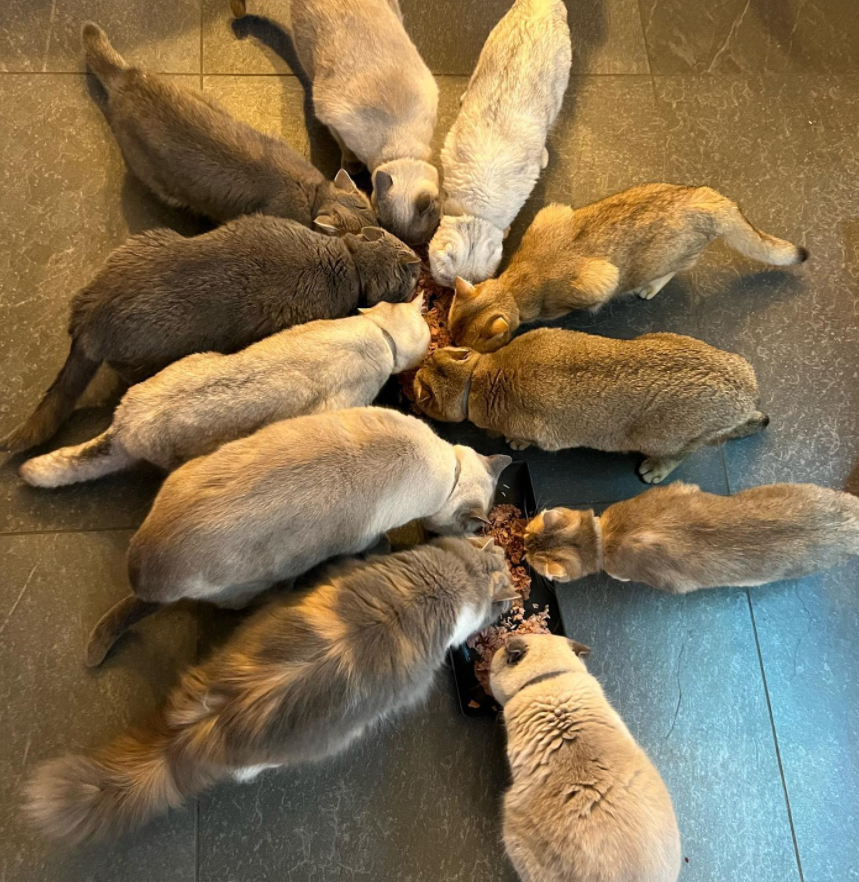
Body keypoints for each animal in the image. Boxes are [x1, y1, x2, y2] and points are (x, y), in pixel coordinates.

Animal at [82, 23, 375, 234]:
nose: (382, 228)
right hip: (155, 178)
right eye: (366, 232)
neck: (311, 192)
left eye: (373, 212)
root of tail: (128, 79)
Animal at [85, 407, 512, 666]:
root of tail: (141, 573)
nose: (476, 533)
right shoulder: (366, 535)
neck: (448, 468)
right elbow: (381, 542)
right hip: (255, 577)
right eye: (470, 530)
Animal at [234, 0, 441, 246]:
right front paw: (352, 166)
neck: (399, 145)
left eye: (418, 242)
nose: (407, 246)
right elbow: (346, 151)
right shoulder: (336, 125)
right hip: (308, 56)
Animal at [413, 328, 766, 483]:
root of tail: (747, 389)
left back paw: (655, 469)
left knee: (679, 455)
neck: (480, 376)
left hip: (664, 438)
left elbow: (522, 439)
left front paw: (515, 443)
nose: (413, 373)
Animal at [447, 184, 809, 351]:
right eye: (450, 333)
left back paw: (648, 288)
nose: (450, 344)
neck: (520, 281)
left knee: (673, 270)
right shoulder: (554, 212)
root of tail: (711, 199)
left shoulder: (599, 281)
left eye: (465, 347)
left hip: (670, 258)